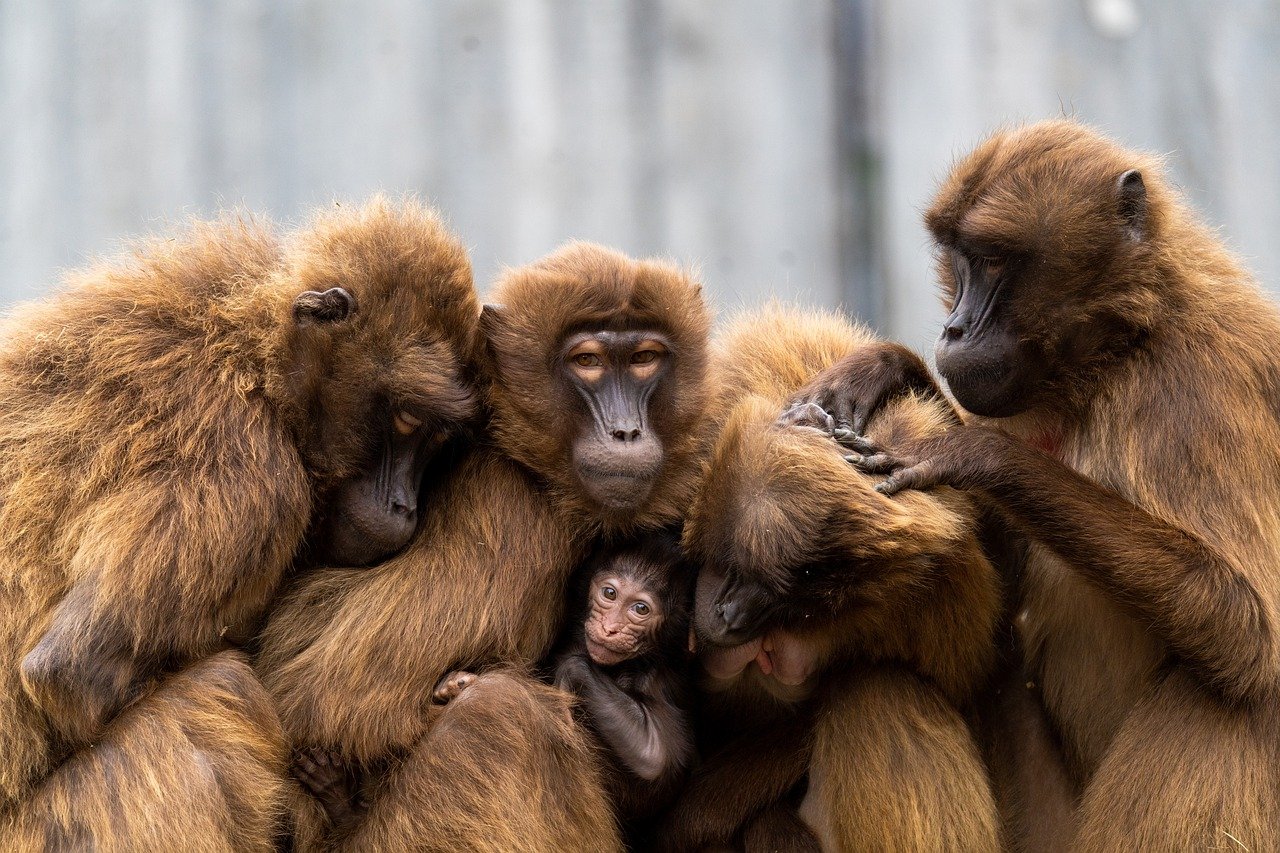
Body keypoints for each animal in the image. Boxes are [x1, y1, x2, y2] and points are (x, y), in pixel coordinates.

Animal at [0, 197, 481, 845]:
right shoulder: (248, 475)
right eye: (408, 420)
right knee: (220, 689)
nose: (405, 504)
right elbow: (69, 673)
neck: (252, 358)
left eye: (437, 440)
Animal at [550, 535, 691, 819]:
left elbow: (653, 756)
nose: (609, 628)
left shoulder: (654, 677)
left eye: (641, 609)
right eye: (610, 593)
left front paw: (569, 674)